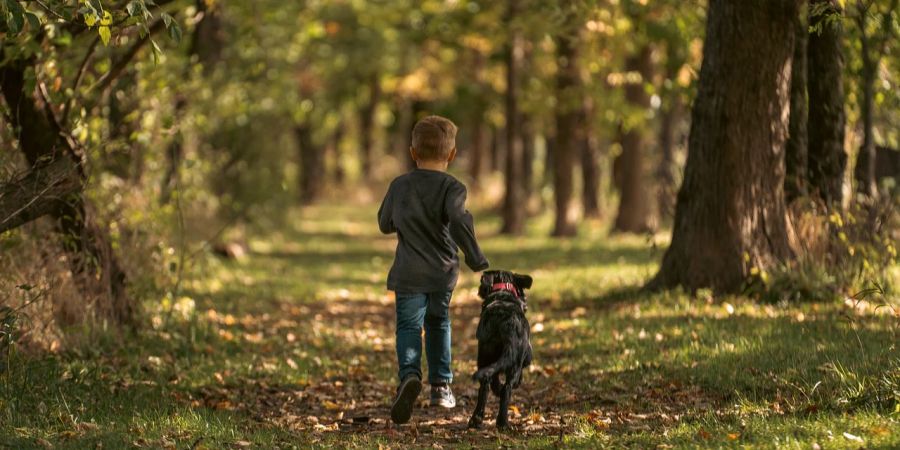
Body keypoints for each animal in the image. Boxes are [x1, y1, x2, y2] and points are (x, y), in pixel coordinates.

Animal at [468, 270, 532, 428]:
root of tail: (506, 324)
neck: (503, 292)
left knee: (485, 384)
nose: (526, 302)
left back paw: (476, 419)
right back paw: (502, 422)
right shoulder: (526, 356)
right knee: (507, 389)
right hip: (515, 363)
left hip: (484, 356)